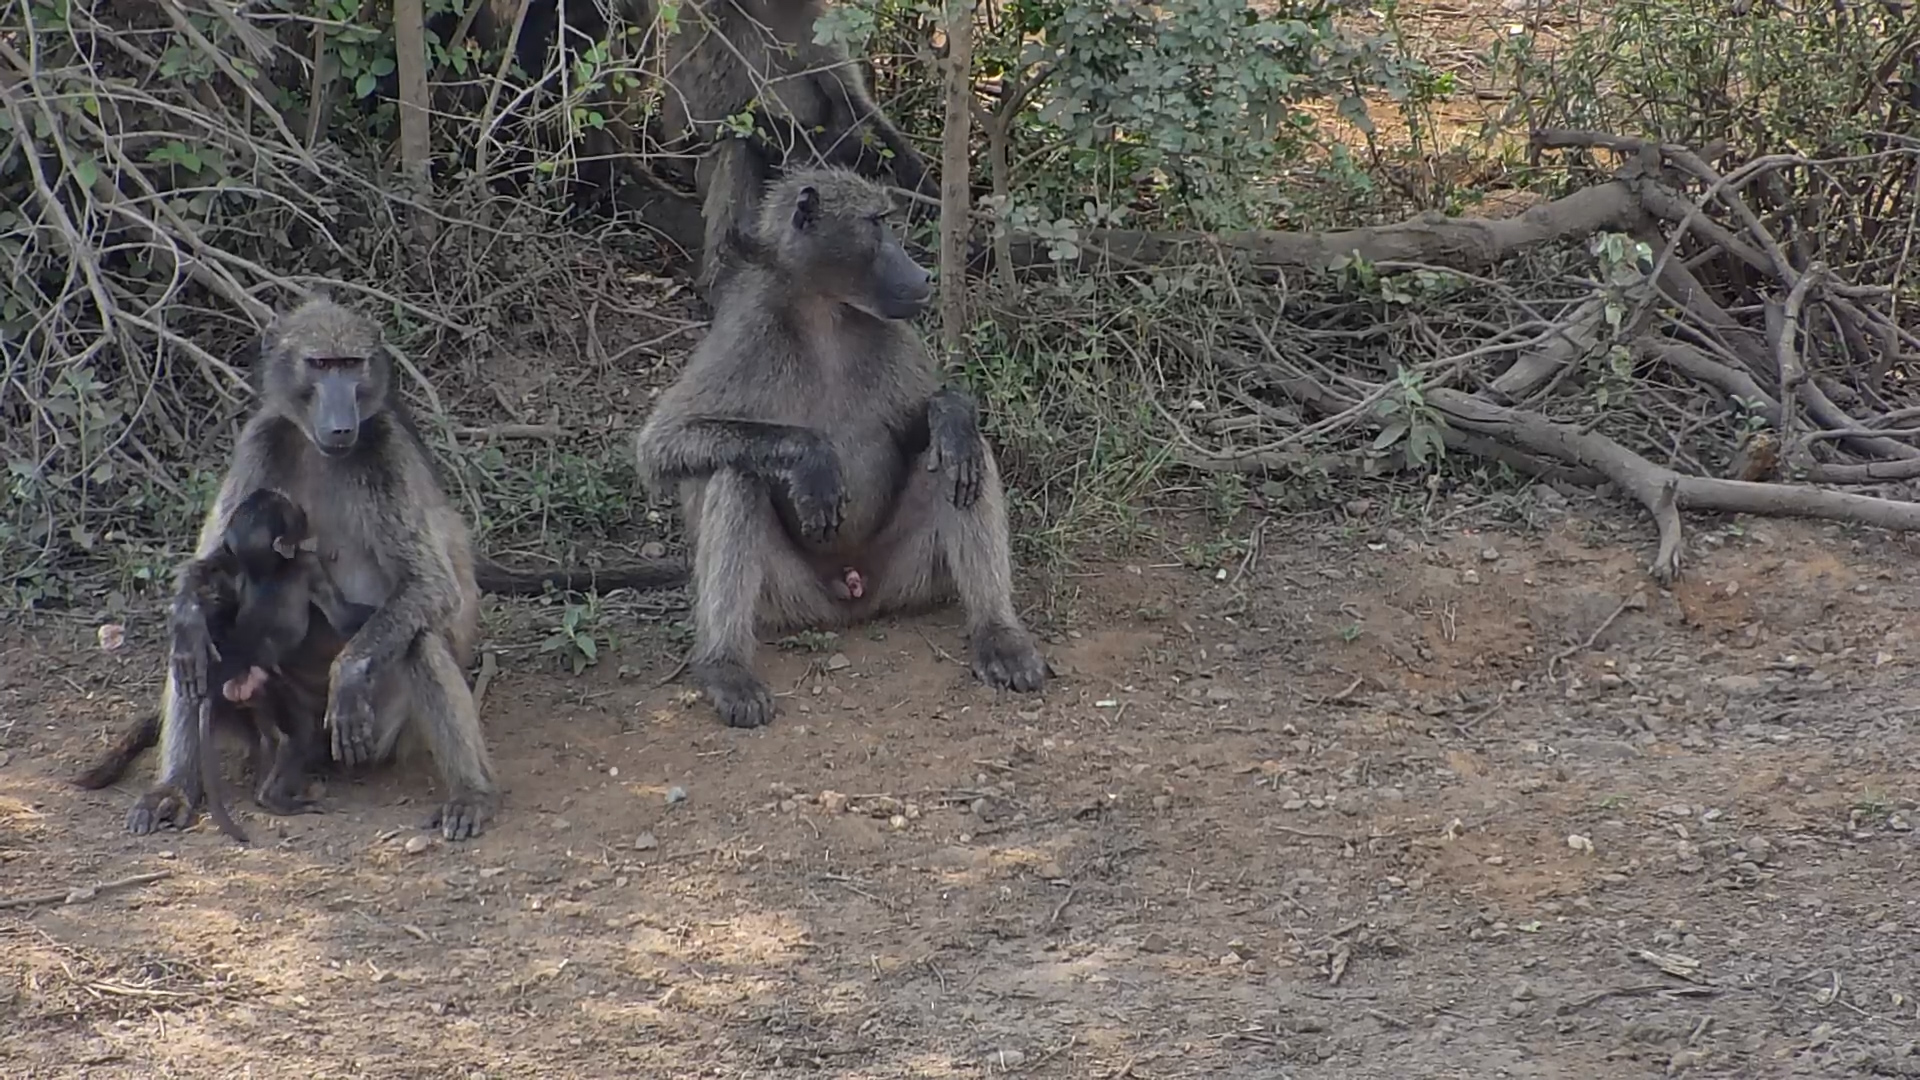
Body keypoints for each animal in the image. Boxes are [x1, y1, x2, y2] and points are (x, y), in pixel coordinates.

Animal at [633, 167, 1049, 729]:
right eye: (877, 223)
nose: (923, 276)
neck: (823, 311)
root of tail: (852, 594)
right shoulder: (746, 328)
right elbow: (660, 446)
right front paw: (811, 460)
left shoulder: (893, 332)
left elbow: (927, 429)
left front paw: (950, 414)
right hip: (787, 599)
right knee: (737, 474)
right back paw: (726, 667)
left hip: (906, 575)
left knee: (962, 460)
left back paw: (998, 633)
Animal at [654, 0, 936, 294]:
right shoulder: (711, 22)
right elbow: (721, 117)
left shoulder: (815, 19)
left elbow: (852, 101)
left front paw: (917, 178)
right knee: (738, 145)